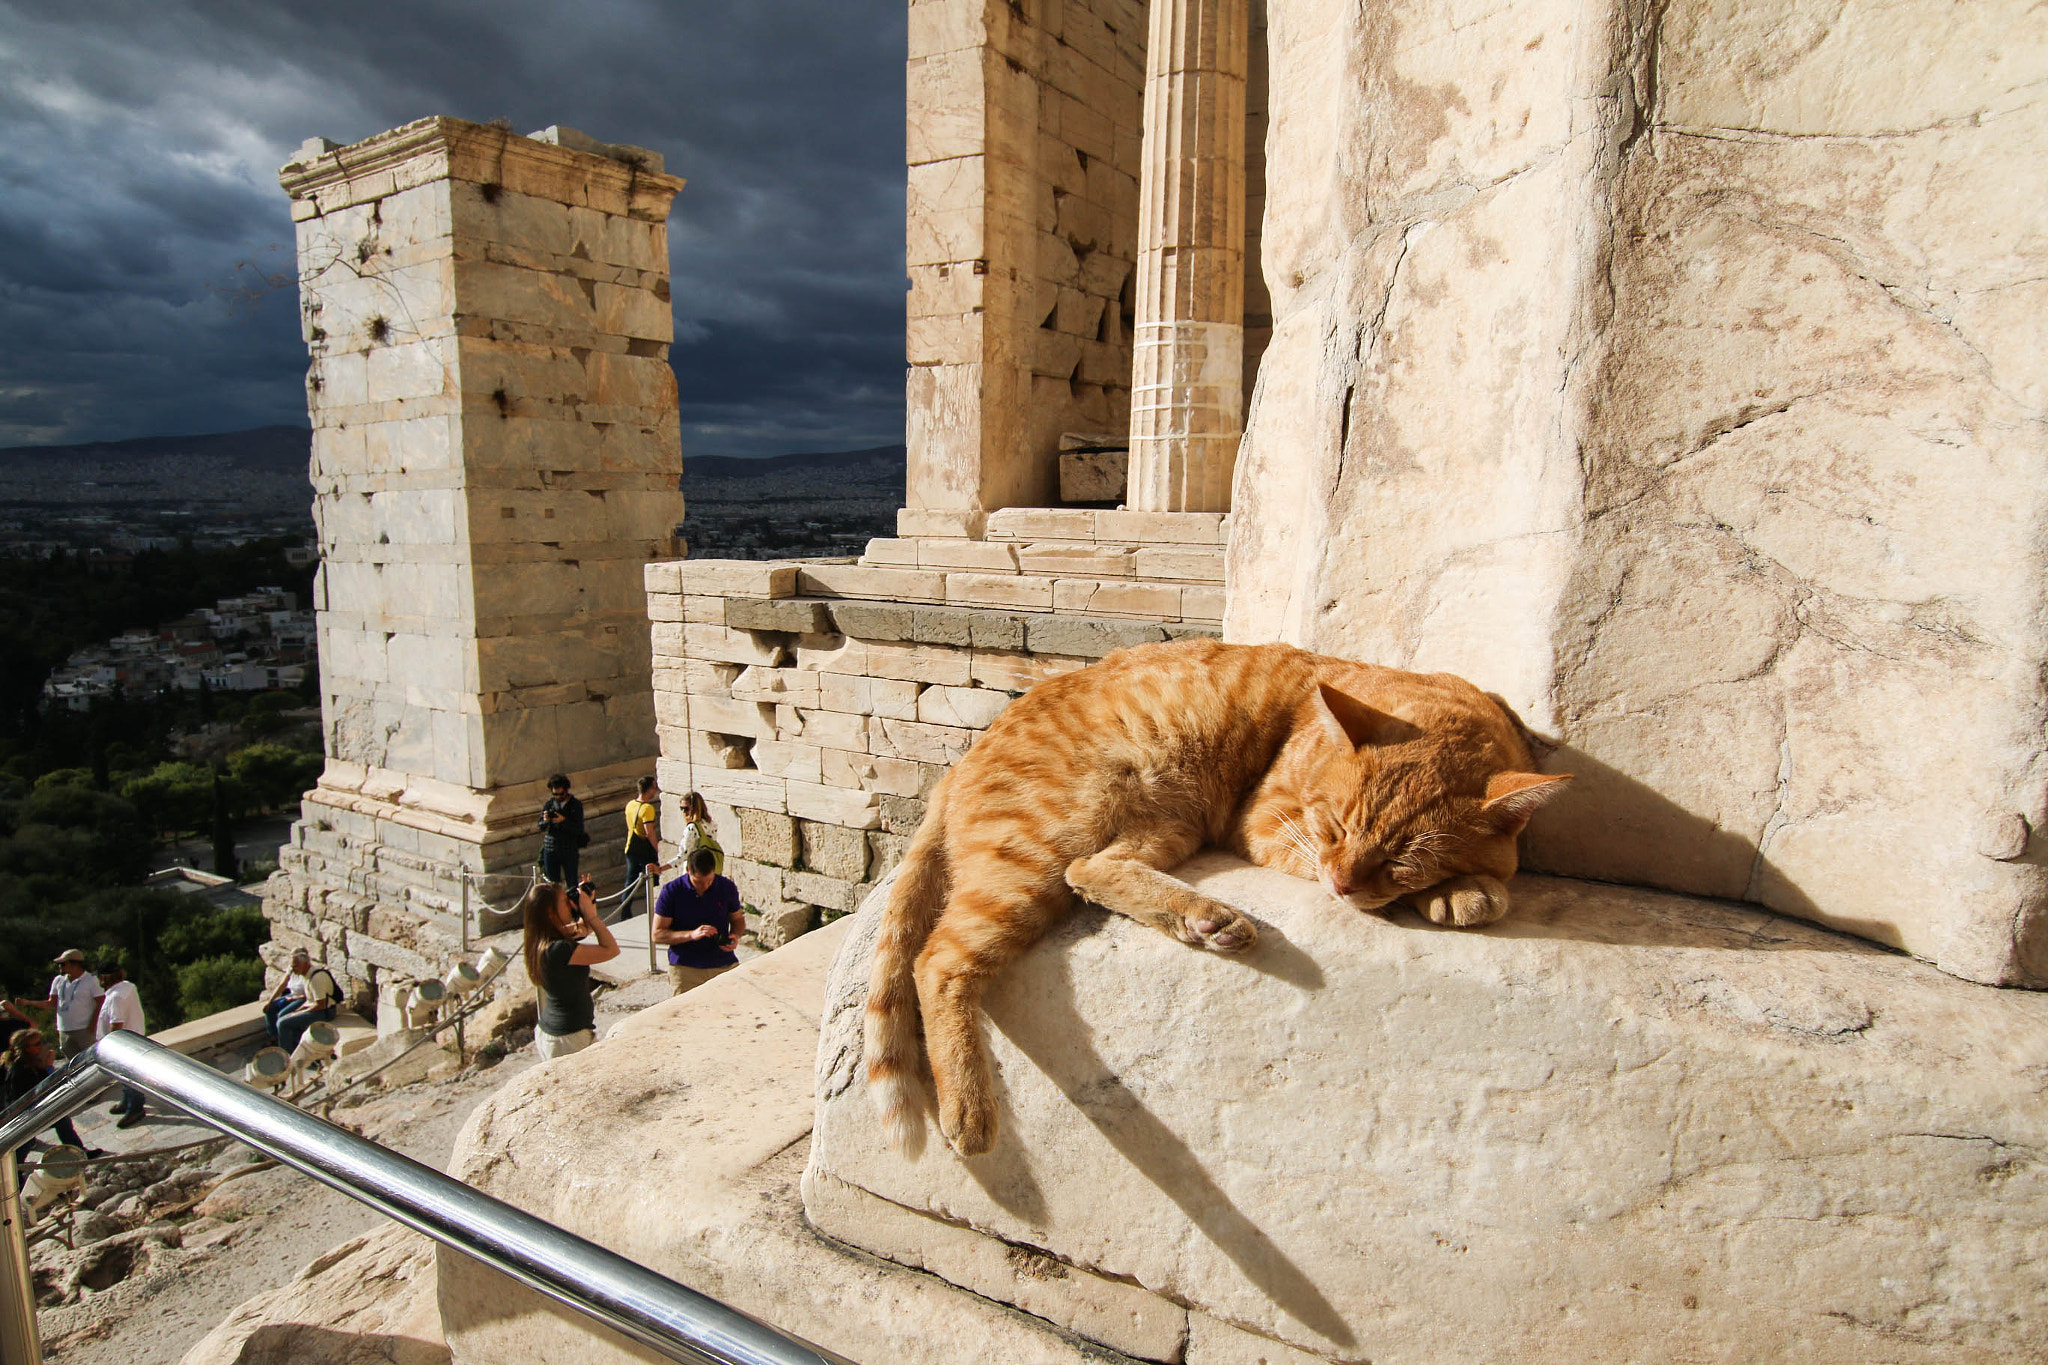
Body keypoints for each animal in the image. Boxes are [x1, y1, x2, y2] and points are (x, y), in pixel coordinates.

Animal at [864, 642, 1564, 1154]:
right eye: (1336, 828)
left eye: (1399, 860)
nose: (1343, 882)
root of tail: (959, 761)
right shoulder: (1269, 824)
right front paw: (1463, 892)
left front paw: (1462, 887)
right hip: (1045, 845)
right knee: (939, 960)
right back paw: (968, 1110)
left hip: (1163, 823)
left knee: (1089, 872)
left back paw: (1208, 920)